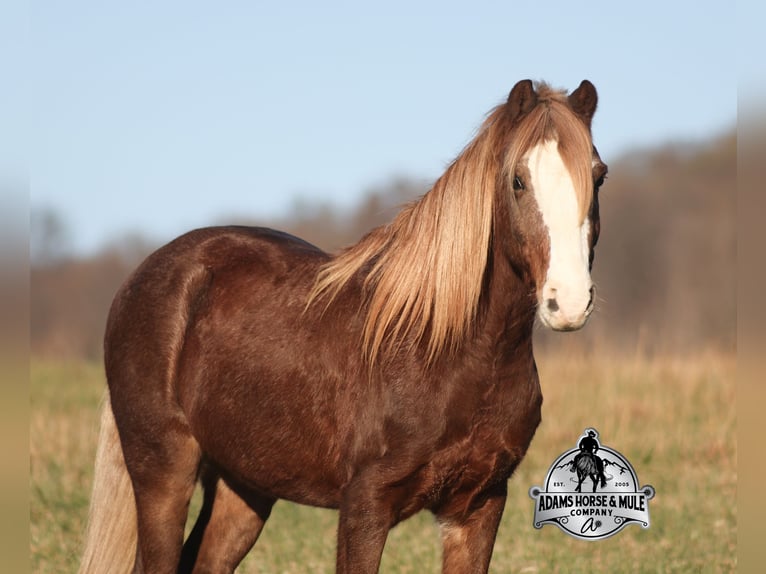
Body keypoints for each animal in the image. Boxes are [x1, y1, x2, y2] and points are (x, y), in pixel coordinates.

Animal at [80, 79, 607, 574]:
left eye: (598, 177)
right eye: (518, 180)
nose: (569, 301)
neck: (449, 352)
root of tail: (144, 276)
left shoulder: (478, 505)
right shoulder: (364, 507)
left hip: (244, 485)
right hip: (163, 473)